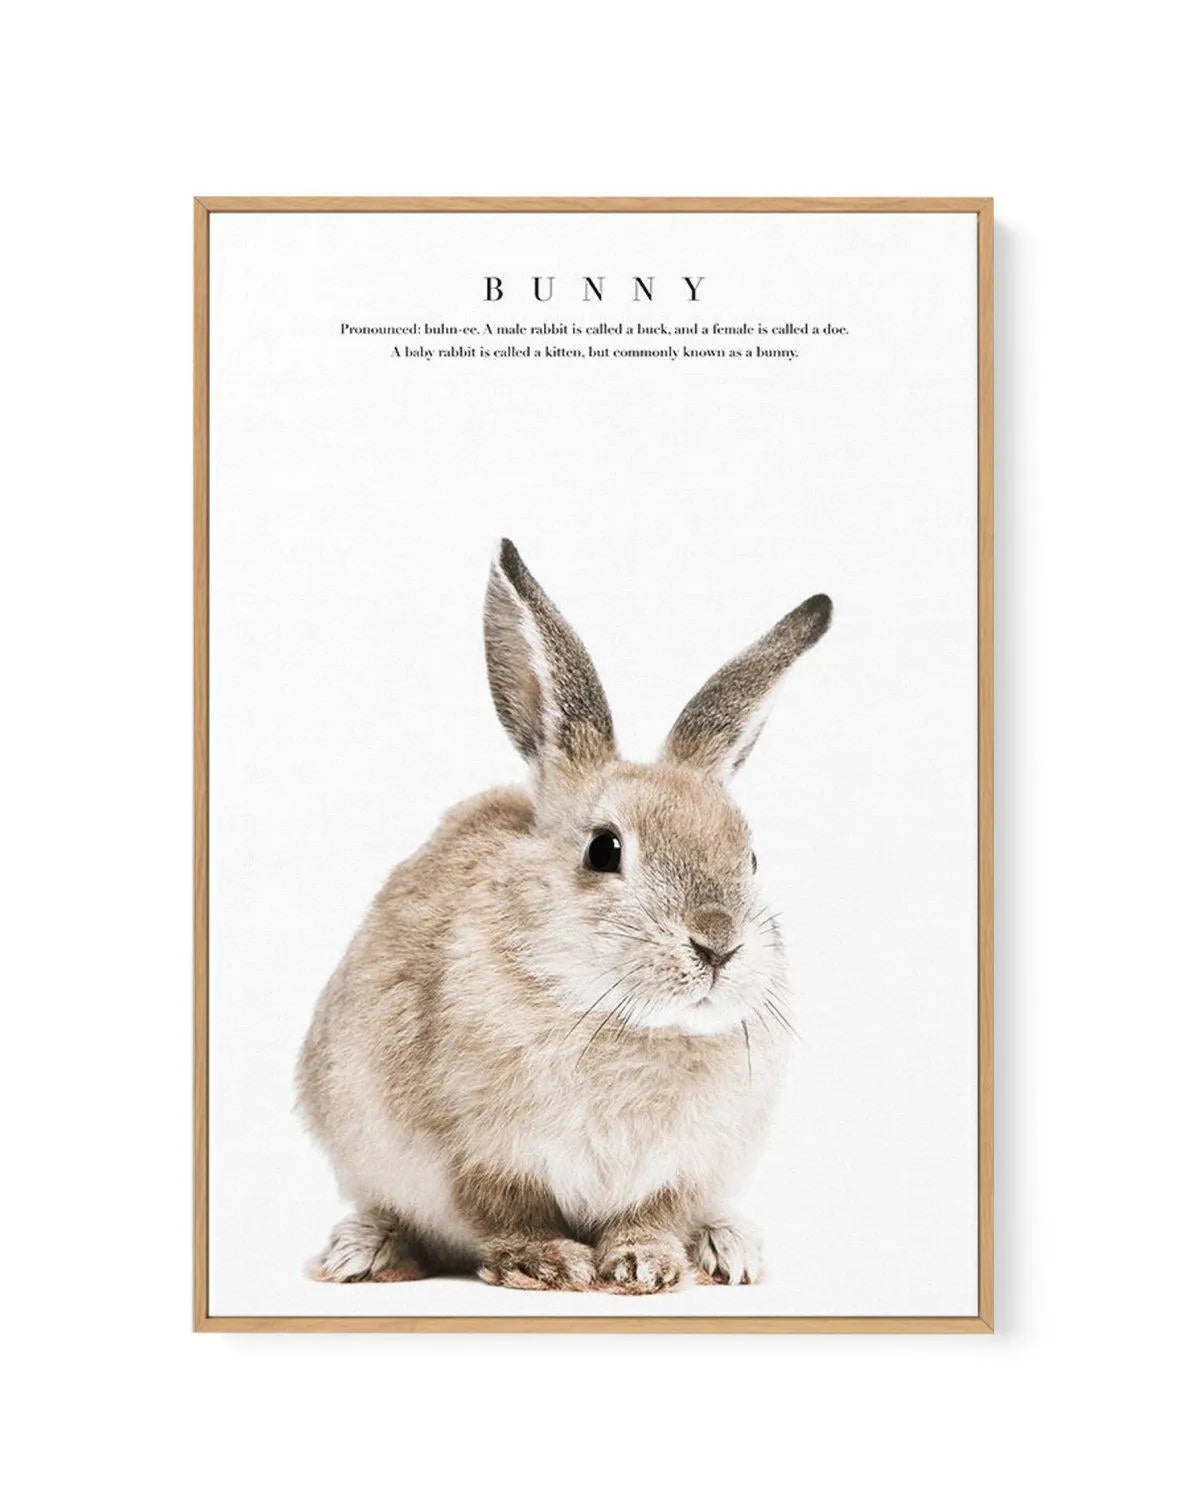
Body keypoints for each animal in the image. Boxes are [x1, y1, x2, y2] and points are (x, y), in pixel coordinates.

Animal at [297, 540, 832, 1293]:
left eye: (751, 858)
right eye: (605, 849)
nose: (718, 944)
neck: (625, 1022)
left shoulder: (681, 1168)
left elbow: (653, 1214)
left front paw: (647, 1265)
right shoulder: (476, 1155)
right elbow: (507, 1213)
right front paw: (547, 1262)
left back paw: (728, 1249)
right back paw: (364, 1252)